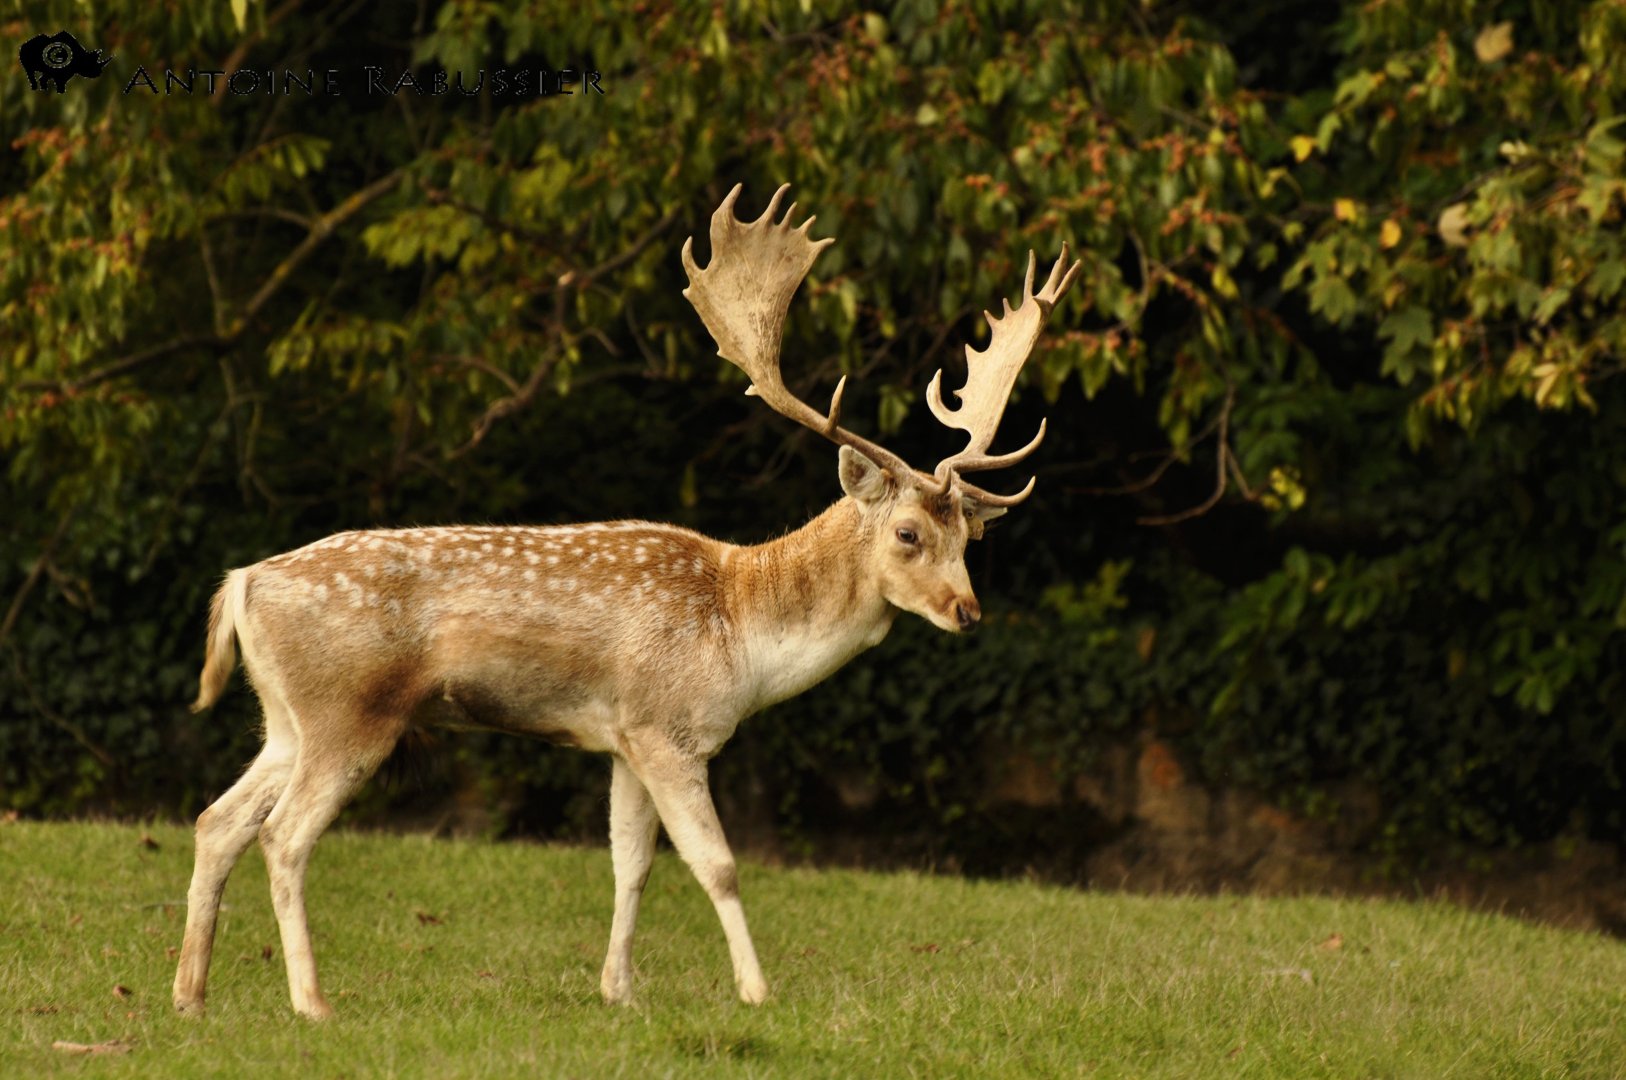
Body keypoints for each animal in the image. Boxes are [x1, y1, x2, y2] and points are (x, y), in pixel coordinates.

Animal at [172, 183, 1080, 1019]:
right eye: (907, 534)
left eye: (970, 537)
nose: (967, 611)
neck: (742, 631)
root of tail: (241, 582)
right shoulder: (666, 726)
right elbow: (718, 864)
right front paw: (756, 991)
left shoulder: (622, 737)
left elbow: (629, 862)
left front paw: (618, 991)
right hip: (350, 710)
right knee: (283, 836)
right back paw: (311, 1002)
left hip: (286, 717)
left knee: (218, 819)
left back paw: (190, 995)